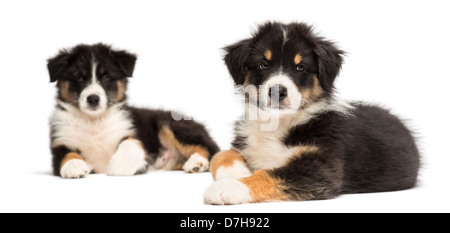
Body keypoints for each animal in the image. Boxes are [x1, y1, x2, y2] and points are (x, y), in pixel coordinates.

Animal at [48, 43, 220, 178]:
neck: (94, 121)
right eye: (79, 78)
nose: (93, 99)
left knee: (211, 148)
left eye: (106, 77)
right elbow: (66, 154)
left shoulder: (131, 130)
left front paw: (119, 165)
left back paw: (197, 162)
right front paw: (74, 166)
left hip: (169, 124)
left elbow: (131, 143)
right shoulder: (60, 142)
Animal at [205, 21, 422, 204]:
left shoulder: (320, 168)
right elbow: (221, 154)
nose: (277, 91)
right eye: (264, 64)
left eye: (300, 67)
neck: (278, 124)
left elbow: (268, 174)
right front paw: (236, 172)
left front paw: (229, 186)